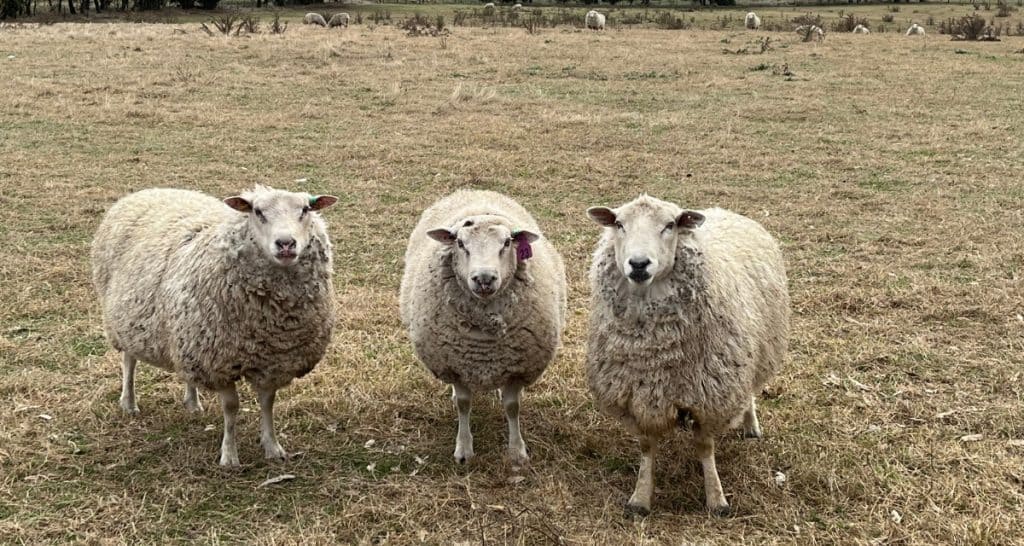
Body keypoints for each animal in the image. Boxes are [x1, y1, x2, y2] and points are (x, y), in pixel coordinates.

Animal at [91, 186, 338, 466]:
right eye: (257, 212)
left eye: (305, 210)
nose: (286, 244)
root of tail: (149, 190)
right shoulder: (218, 363)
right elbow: (231, 408)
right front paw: (229, 456)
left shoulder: (273, 361)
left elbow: (268, 403)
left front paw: (273, 447)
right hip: (126, 321)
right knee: (129, 362)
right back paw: (129, 402)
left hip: (187, 337)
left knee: (186, 371)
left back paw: (192, 403)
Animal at [400, 190, 567, 466]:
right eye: (460, 243)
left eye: (507, 243)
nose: (484, 278)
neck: (483, 339)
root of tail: (475, 191)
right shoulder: (454, 365)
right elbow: (463, 404)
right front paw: (464, 449)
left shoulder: (517, 368)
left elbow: (512, 407)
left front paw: (517, 451)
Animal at [585, 195, 789, 516]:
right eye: (619, 224)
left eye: (670, 225)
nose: (639, 264)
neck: (656, 353)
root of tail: (723, 210)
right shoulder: (640, 397)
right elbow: (646, 447)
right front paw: (640, 498)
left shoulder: (710, 396)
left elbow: (705, 448)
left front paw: (716, 499)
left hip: (749, 358)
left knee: (750, 392)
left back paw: (751, 426)